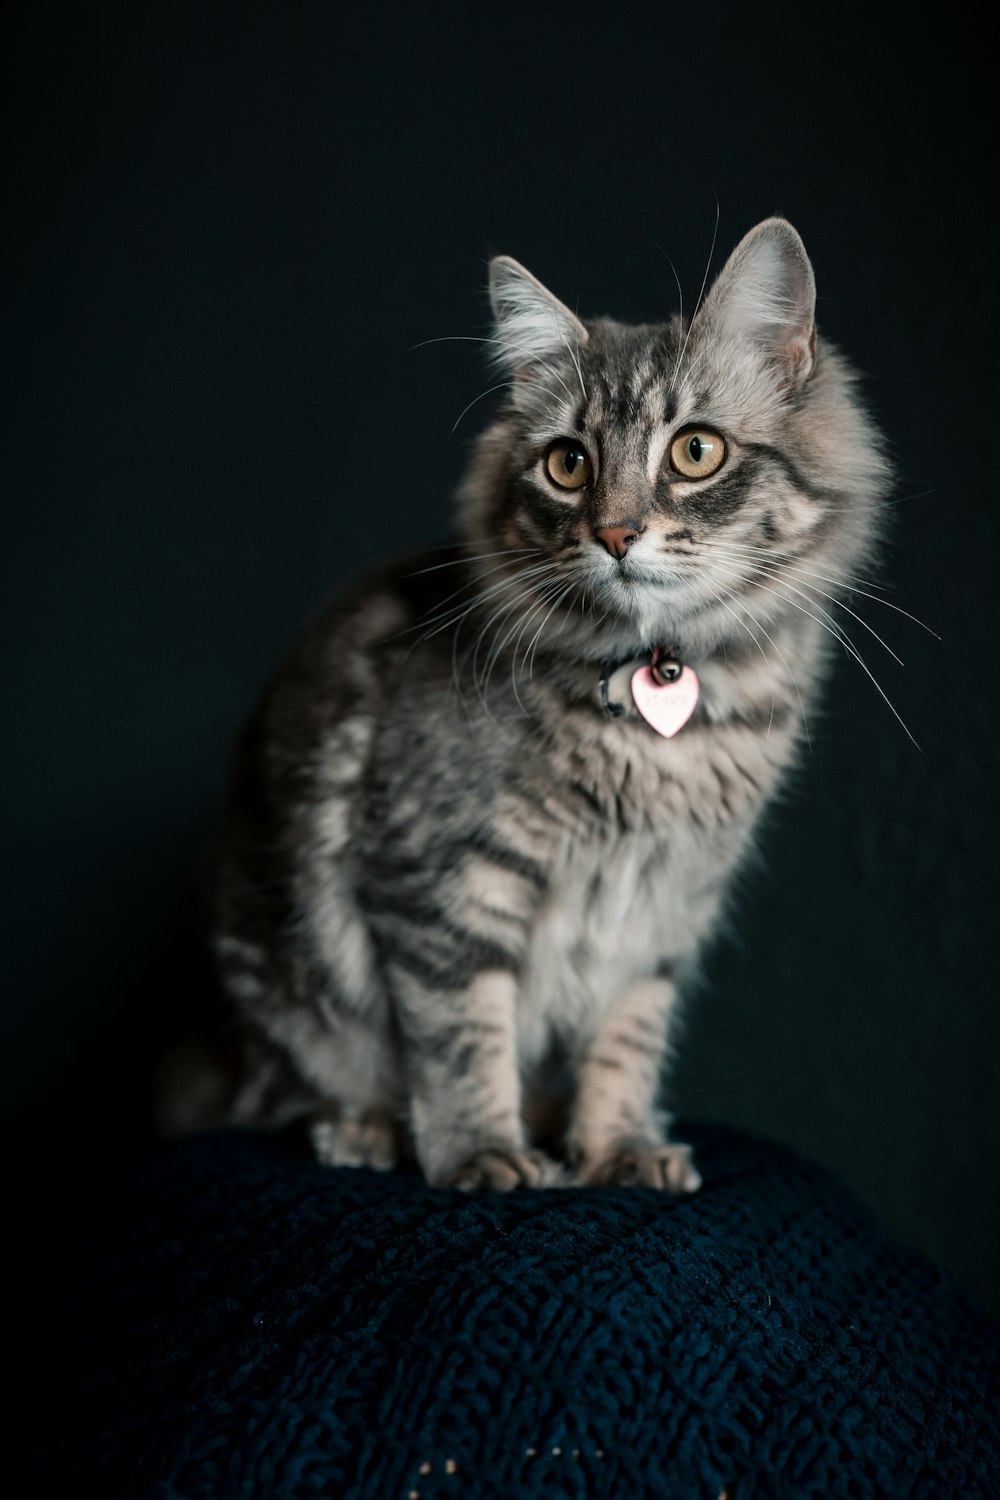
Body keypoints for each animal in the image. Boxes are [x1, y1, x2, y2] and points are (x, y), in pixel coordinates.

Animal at [187, 217, 893, 1188]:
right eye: (568, 464)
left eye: (695, 450)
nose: (617, 534)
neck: (660, 703)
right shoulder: (441, 879)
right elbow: (461, 1037)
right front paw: (483, 1154)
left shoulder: (666, 907)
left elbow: (627, 1042)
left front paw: (618, 1146)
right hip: (294, 994)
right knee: (305, 1088)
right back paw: (365, 1131)